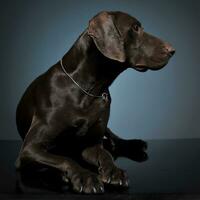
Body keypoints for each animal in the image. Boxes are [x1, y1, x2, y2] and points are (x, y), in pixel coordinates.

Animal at [15, 10, 175, 194]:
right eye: (135, 27)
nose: (172, 50)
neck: (90, 89)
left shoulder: (91, 145)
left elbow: (105, 154)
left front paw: (114, 171)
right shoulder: (29, 149)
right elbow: (65, 159)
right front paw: (85, 177)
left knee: (112, 139)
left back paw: (133, 143)